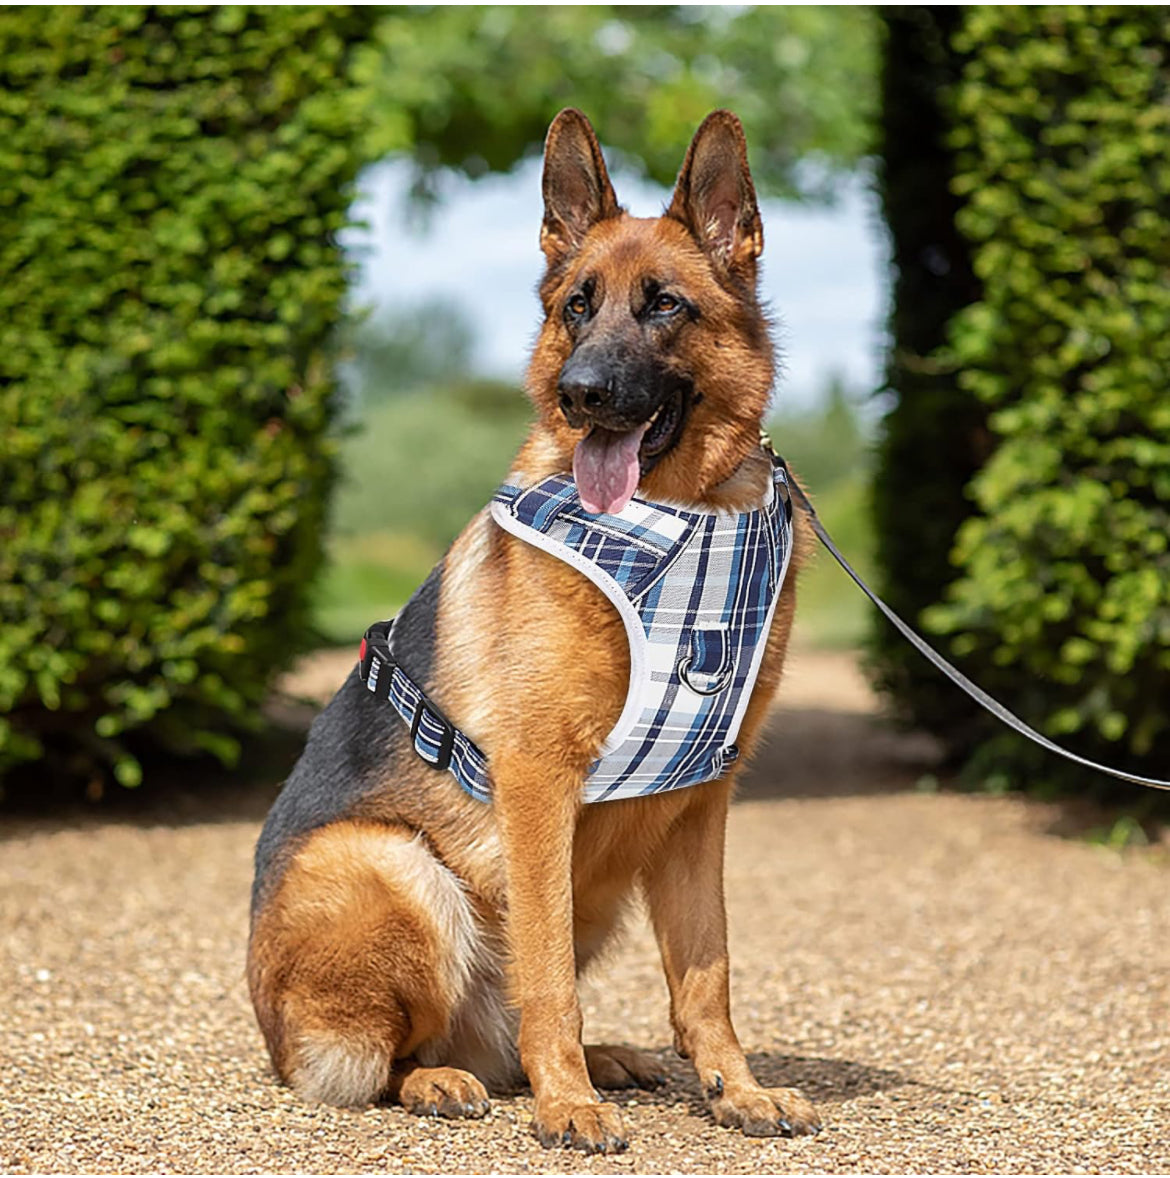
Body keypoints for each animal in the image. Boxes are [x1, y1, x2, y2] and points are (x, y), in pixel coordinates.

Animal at [248, 106, 810, 1154]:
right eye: (577, 308)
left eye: (664, 306)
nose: (582, 393)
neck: (682, 522)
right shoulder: (539, 783)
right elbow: (546, 977)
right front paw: (568, 1105)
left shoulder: (701, 805)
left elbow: (707, 974)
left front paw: (737, 1088)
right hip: (397, 865)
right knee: (387, 1060)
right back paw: (448, 1079)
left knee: (503, 1034)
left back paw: (604, 1062)